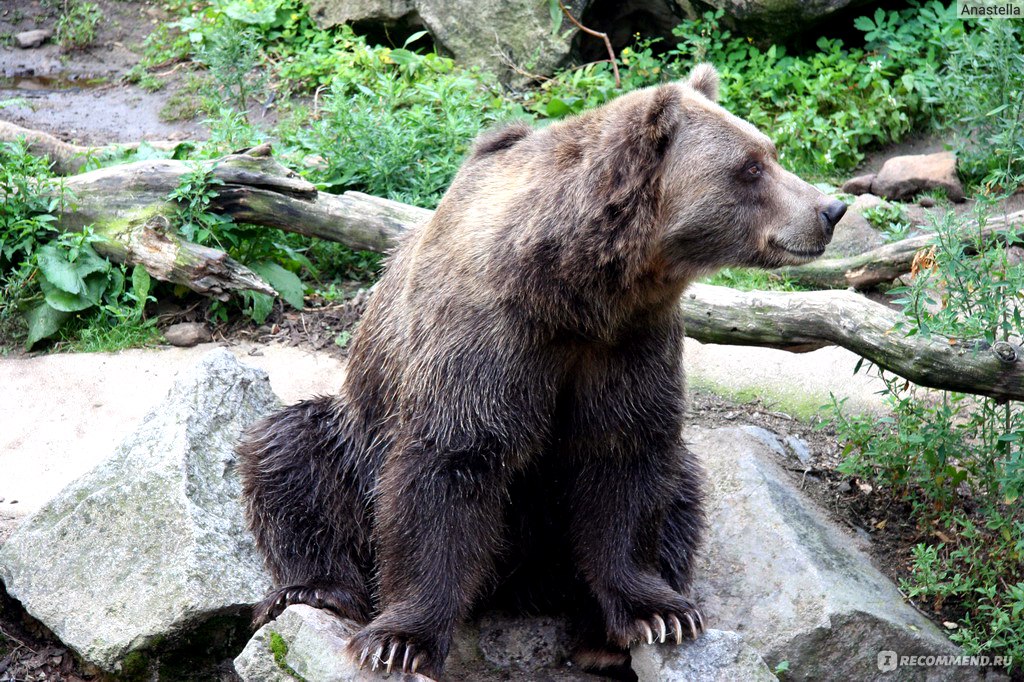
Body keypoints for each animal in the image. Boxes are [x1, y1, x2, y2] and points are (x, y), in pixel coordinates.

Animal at [237, 62, 839, 675]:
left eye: (770, 151)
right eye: (751, 166)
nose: (830, 210)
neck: (575, 291)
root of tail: (517, 587)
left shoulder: (629, 342)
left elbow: (627, 459)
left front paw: (657, 612)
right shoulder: (488, 337)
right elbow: (449, 463)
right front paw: (400, 640)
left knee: (685, 486)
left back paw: (602, 636)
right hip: (354, 440)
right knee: (291, 451)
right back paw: (316, 589)